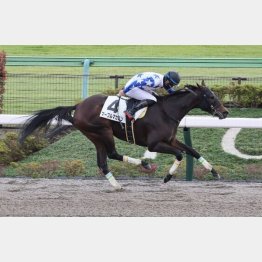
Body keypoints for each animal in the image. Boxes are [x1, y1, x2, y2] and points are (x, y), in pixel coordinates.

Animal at [18, 83, 227, 188]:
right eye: (211, 96)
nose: (225, 112)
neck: (167, 111)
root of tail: (78, 106)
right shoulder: (153, 144)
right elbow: (179, 154)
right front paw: (167, 177)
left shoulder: (170, 139)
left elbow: (192, 151)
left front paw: (214, 172)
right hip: (103, 131)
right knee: (112, 154)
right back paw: (143, 164)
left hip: (94, 136)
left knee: (103, 162)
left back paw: (117, 184)